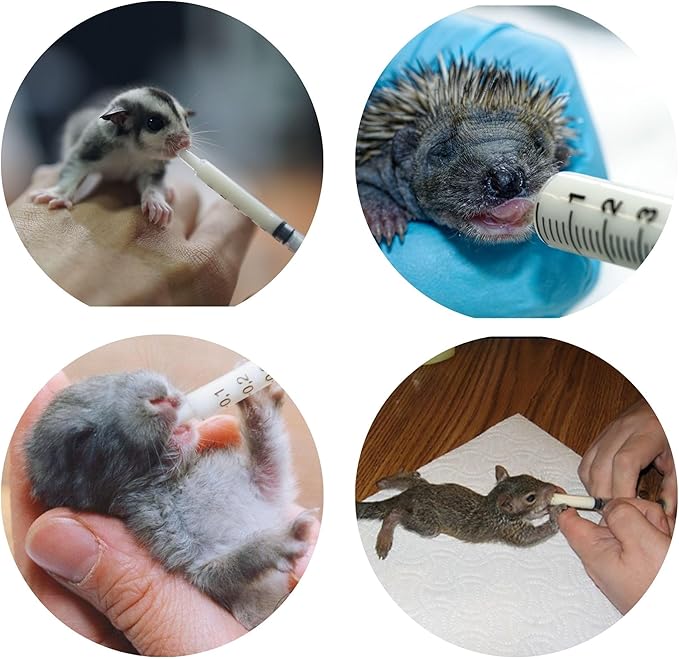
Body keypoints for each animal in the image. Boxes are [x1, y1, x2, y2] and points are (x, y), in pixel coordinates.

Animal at [356, 465, 565, 559]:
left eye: (529, 477)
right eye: (530, 498)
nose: (552, 488)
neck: (493, 505)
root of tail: (410, 496)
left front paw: (552, 504)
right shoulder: (509, 529)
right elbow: (531, 536)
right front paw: (556, 512)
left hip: (419, 487)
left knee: (409, 482)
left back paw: (385, 481)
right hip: (427, 523)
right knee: (394, 514)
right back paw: (384, 538)